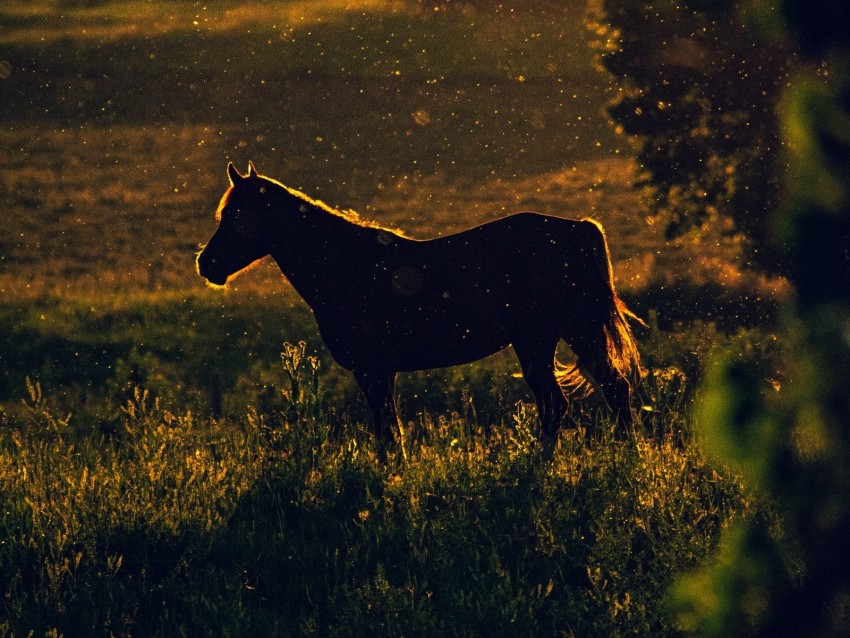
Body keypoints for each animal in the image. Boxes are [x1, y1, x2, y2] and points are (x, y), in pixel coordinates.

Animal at [194, 162, 644, 448]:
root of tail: (575, 230)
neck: (346, 266)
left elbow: (388, 434)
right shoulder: (381, 373)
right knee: (615, 389)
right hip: (579, 331)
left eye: (237, 215)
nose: (206, 264)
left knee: (555, 407)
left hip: (537, 343)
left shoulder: (373, 371)